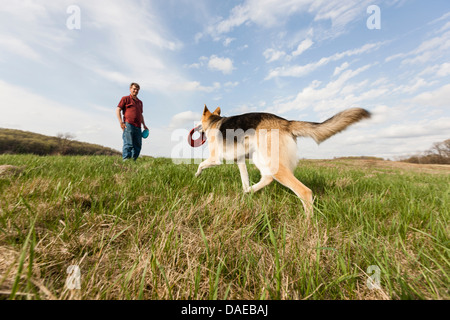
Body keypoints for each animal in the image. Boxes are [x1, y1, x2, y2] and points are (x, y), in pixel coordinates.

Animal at [195, 105, 370, 218]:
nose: (195, 127)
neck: (213, 121)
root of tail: (287, 122)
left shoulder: (215, 159)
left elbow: (201, 164)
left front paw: (197, 176)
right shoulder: (240, 161)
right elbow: (244, 178)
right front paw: (244, 193)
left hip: (272, 164)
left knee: (304, 192)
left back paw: (307, 225)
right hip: (260, 158)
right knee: (267, 178)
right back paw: (249, 191)